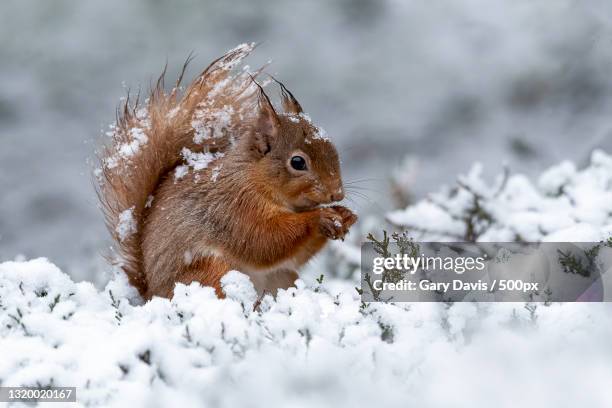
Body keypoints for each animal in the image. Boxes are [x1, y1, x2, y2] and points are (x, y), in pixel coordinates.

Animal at [97, 44, 358, 298]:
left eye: (333, 148)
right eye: (298, 162)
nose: (337, 194)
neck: (253, 177)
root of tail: (151, 294)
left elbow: (295, 256)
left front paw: (345, 215)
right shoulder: (236, 209)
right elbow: (266, 240)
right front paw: (320, 218)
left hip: (282, 278)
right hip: (212, 273)